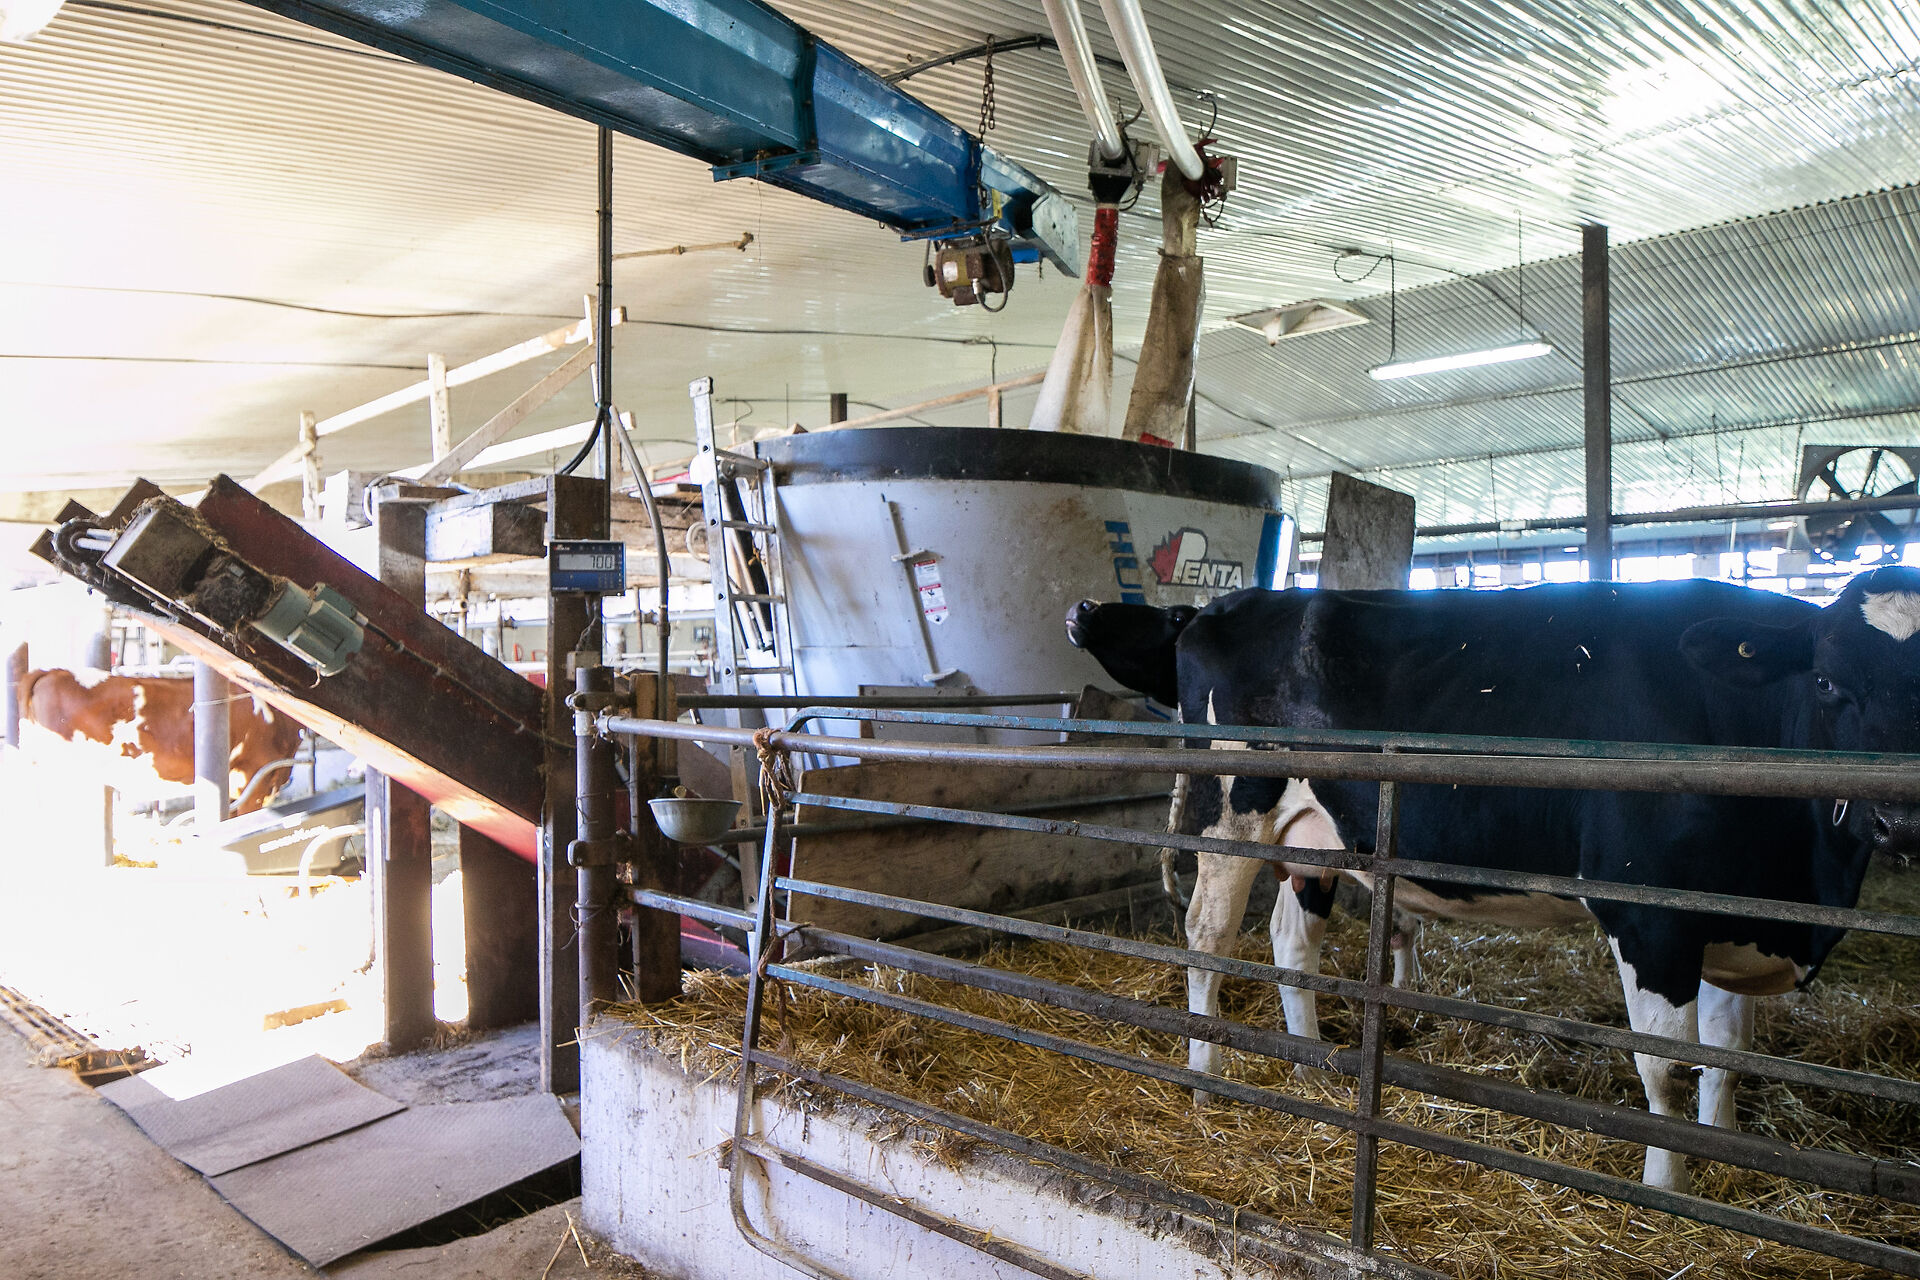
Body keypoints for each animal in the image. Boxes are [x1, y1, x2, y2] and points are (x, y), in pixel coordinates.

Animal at [1067, 567, 1920, 1193]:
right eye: (1826, 682)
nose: (1900, 818)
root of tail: (1229, 604)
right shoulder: (1649, 916)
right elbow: (1667, 1071)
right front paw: (1669, 1195)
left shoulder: (1726, 911)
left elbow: (1728, 1057)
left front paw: (1728, 1159)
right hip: (1230, 813)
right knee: (1207, 937)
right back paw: (1207, 1079)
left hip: (1318, 837)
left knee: (1290, 941)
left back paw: (1308, 1066)